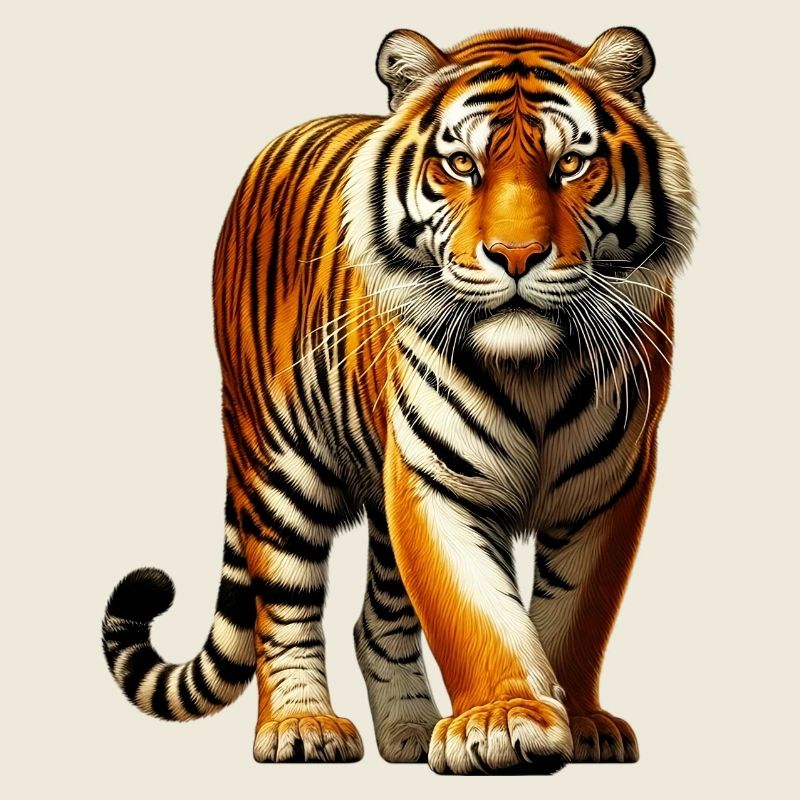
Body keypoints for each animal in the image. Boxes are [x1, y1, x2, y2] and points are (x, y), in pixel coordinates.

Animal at [101, 26, 694, 774]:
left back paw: (409, 730)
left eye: (570, 166)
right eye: (462, 164)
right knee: (284, 607)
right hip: (276, 466)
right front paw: (501, 723)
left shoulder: (610, 486)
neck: (533, 367)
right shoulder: (435, 480)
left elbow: (577, 613)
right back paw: (302, 726)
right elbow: (473, 610)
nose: (516, 255)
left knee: (376, 619)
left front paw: (582, 724)